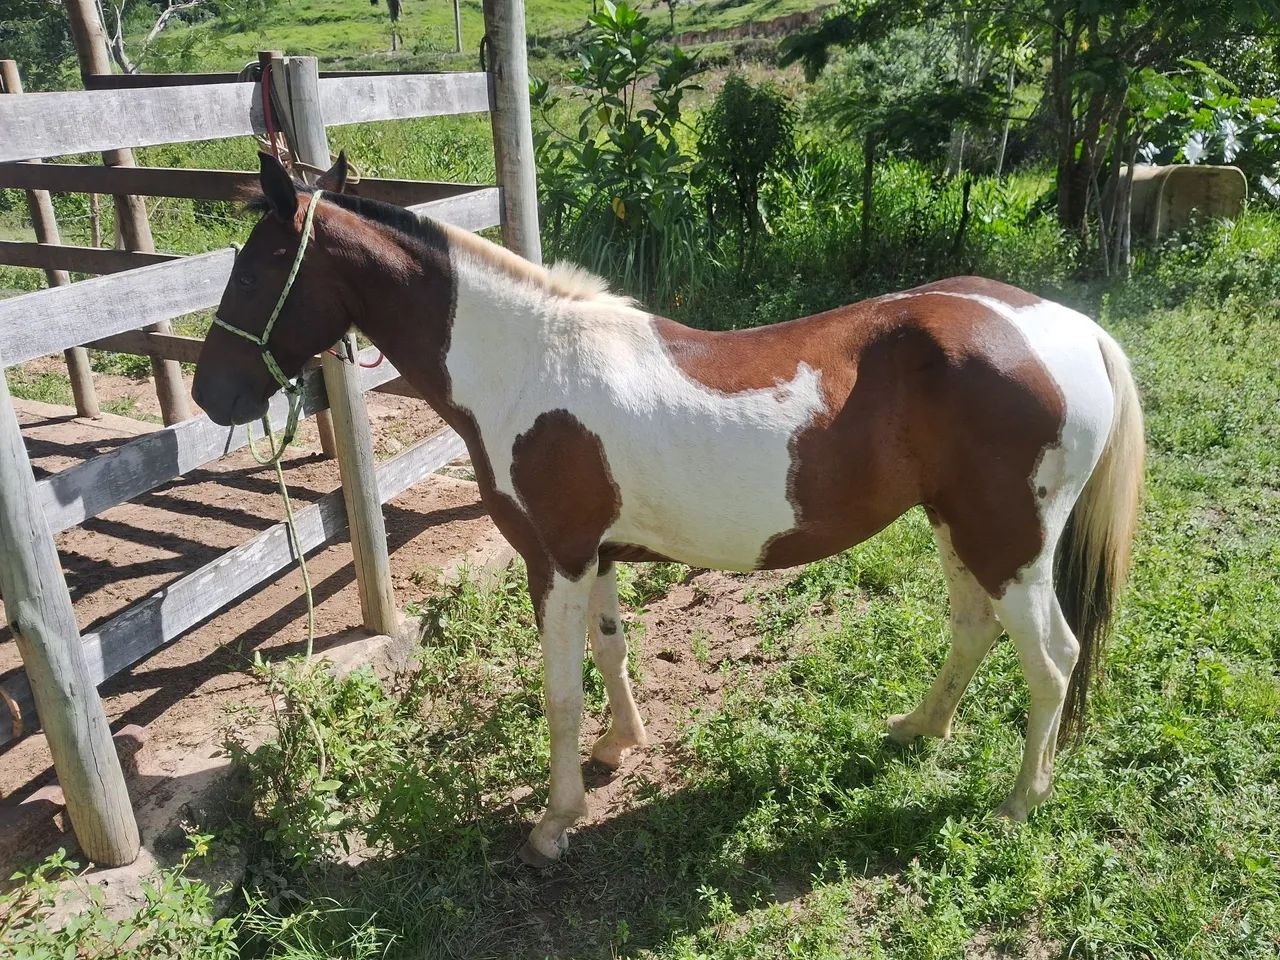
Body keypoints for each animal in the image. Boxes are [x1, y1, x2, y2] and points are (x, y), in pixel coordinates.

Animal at [193, 152, 1144, 866]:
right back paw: (919, 728)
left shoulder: (554, 560)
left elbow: (560, 691)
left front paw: (554, 821)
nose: (210, 396)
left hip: (1011, 543)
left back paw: (1019, 802)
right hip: (959, 526)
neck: (527, 365)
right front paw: (621, 748)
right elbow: (611, 655)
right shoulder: (595, 555)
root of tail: (1073, 329)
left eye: (255, 268)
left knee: (1052, 660)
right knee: (975, 631)